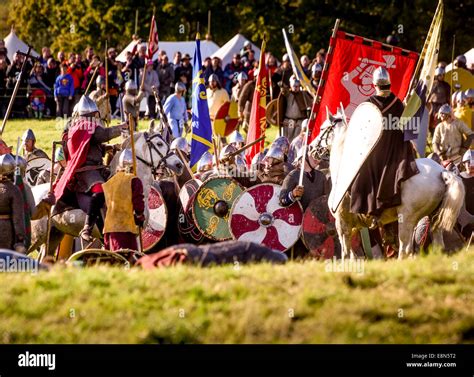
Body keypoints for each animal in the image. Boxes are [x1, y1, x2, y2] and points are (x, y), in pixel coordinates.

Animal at [320, 108, 464, 258]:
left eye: (322, 128)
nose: (313, 148)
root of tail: (441, 171)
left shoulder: (342, 225)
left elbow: (346, 254)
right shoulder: (355, 227)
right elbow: (353, 255)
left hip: (406, 218)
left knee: (405, 249)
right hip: (433, 218)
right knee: (437, 245)